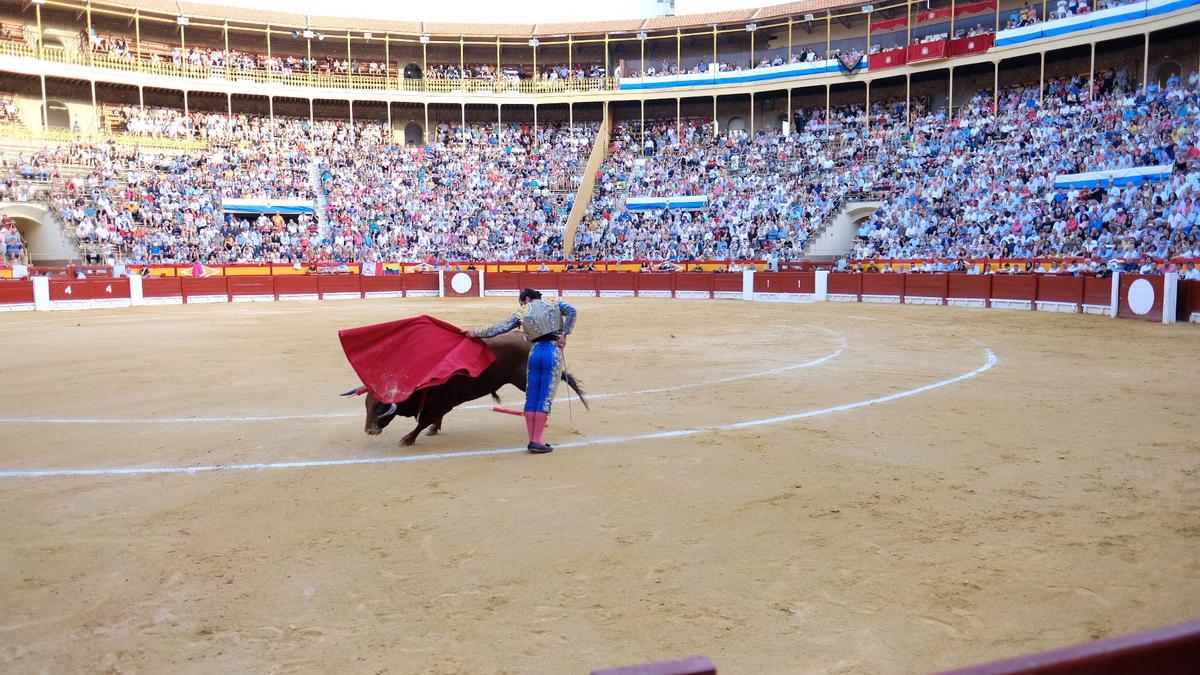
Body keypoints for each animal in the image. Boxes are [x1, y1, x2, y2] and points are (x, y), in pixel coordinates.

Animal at [350, 329, 588, 444]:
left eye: (380, 407)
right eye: (367, 405)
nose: (369, 430)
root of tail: (528, 338)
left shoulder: (444, 403)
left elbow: (424, 421)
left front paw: (408, 439)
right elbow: (433, 419)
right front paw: (433, 430)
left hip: (524, 379)